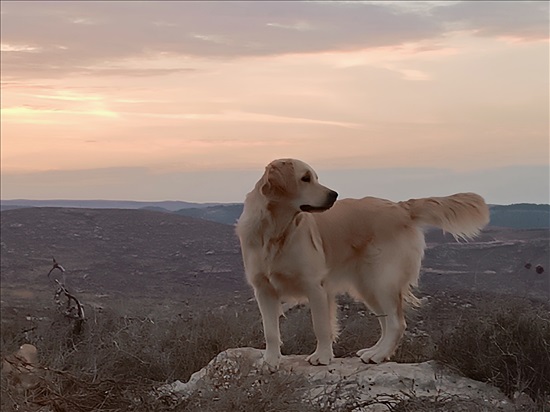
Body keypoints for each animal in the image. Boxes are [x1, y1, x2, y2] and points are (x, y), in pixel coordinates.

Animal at [237, 159, 492, 370]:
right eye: (305, 178)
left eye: (315, 177)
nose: (334, 195)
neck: (275, 231)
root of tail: (401, 207)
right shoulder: (263, 289)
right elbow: (270, 331)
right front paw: (270, 361)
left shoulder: (315, 286)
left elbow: (321, 325)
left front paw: (322, 356)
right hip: (367, 286)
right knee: (387, 322)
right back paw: (375, 352)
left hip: (382, 279)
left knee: (397, 323)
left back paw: (379, 355)